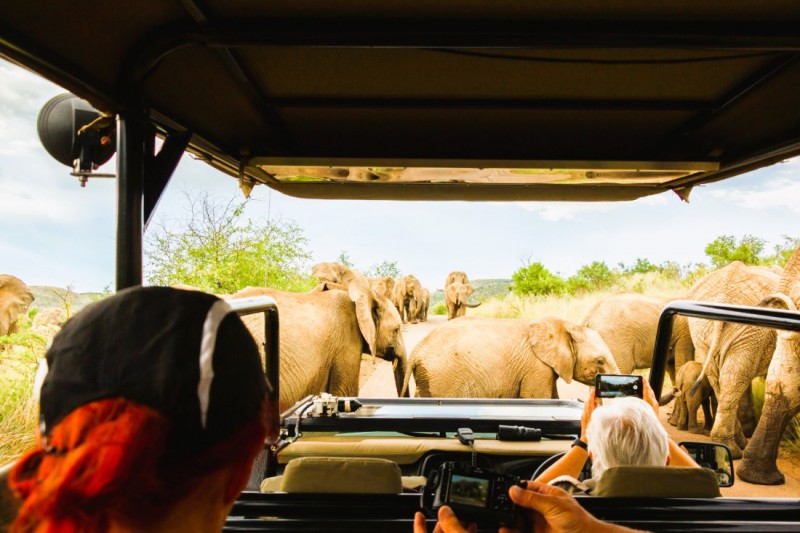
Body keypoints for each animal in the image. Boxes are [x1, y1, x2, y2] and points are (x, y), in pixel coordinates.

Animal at [688, 258, 800, 458]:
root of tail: (724, 294)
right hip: (749, 331)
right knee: (733, 379)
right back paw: (732, 450)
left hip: (705, 330)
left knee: (725, 379)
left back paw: (733, 444)